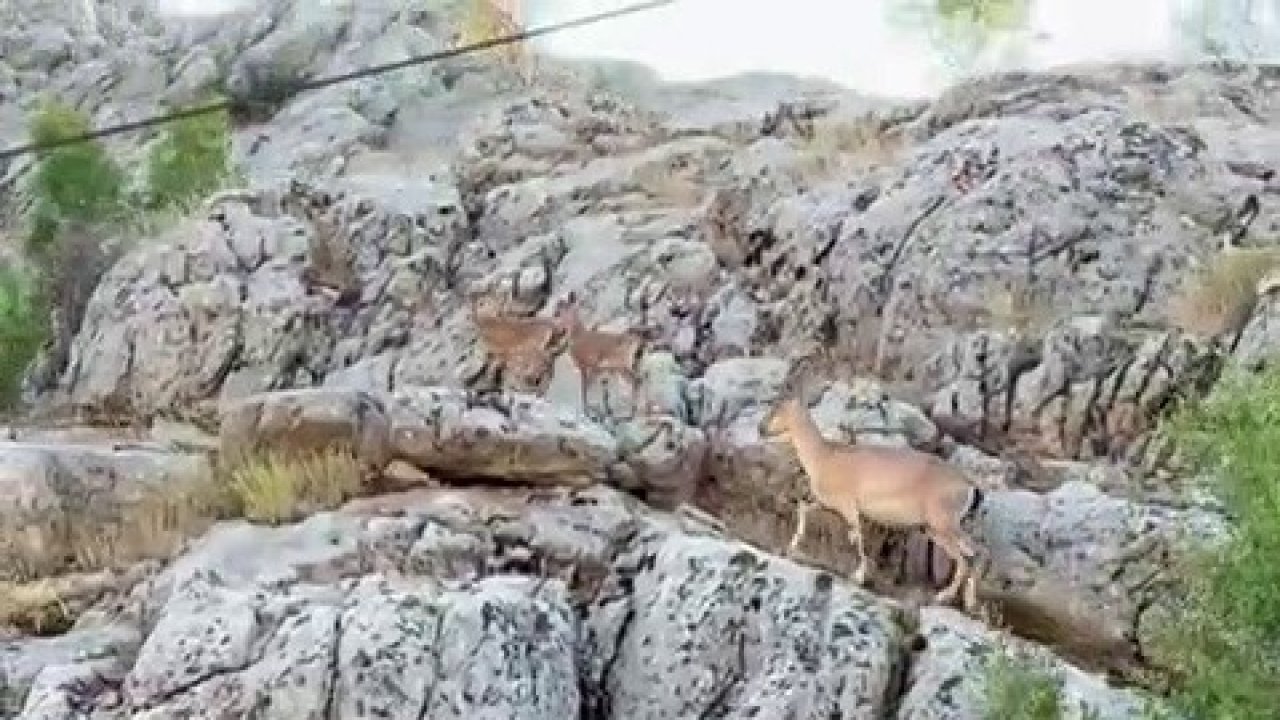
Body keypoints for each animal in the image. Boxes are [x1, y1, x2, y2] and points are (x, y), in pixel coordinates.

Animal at [757, 361, 988, 607]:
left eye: (777, 406)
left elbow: (856, 538)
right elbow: (804, 508)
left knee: (968, 556)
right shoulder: (828, 504)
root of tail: (967, 485)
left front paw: (858, 576)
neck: (824, 457)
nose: (761, 428)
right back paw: (969, 601)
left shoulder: (849, 507)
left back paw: (945, 596)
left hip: (944, 524)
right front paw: (792, 547)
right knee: (974, 553)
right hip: (934, 528)